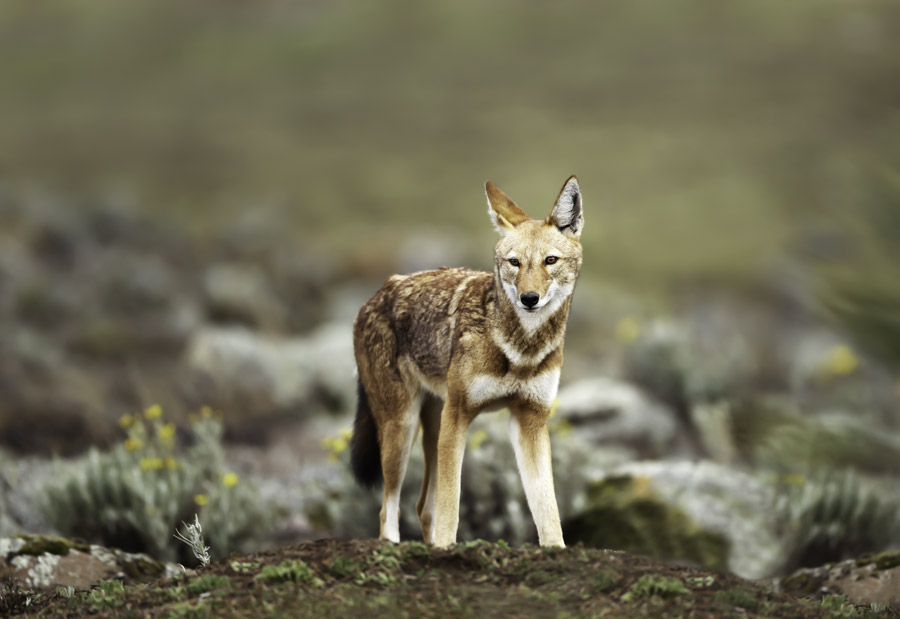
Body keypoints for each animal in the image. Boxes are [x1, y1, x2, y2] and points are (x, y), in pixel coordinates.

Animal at [348, 176, 580, 548]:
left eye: (550, 260)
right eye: (514, 263)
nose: (529, 298)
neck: (520, 349)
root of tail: (375, 295)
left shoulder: (531, 421)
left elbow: (547, 508)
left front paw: (555, 550)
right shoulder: (458, 415)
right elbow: (451, 503)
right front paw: (447, 548)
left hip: (431, 428)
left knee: (421, 507)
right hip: (403, 430)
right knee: (389, 510)